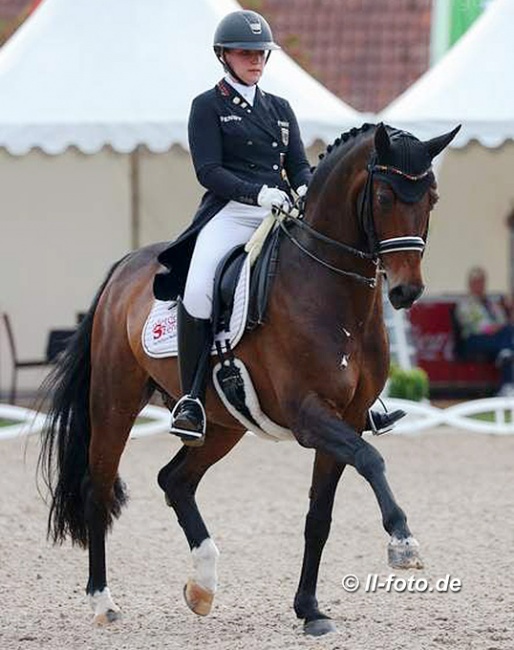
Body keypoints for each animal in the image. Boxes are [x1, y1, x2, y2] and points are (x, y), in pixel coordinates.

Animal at [39, 121, 456, 632]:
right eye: (382, 197)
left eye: (431, 198)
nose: (405, 291)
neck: (333, 293)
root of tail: (126, 267)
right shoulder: (309, 415)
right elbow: (371, 459)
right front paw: (402, 542)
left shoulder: (348, 417)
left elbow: (319, 516)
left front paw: (310, 610)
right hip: (114, 401)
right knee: (97, 490)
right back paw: (103, 602)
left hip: (223, 423)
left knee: (175, 480)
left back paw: (202, 586)